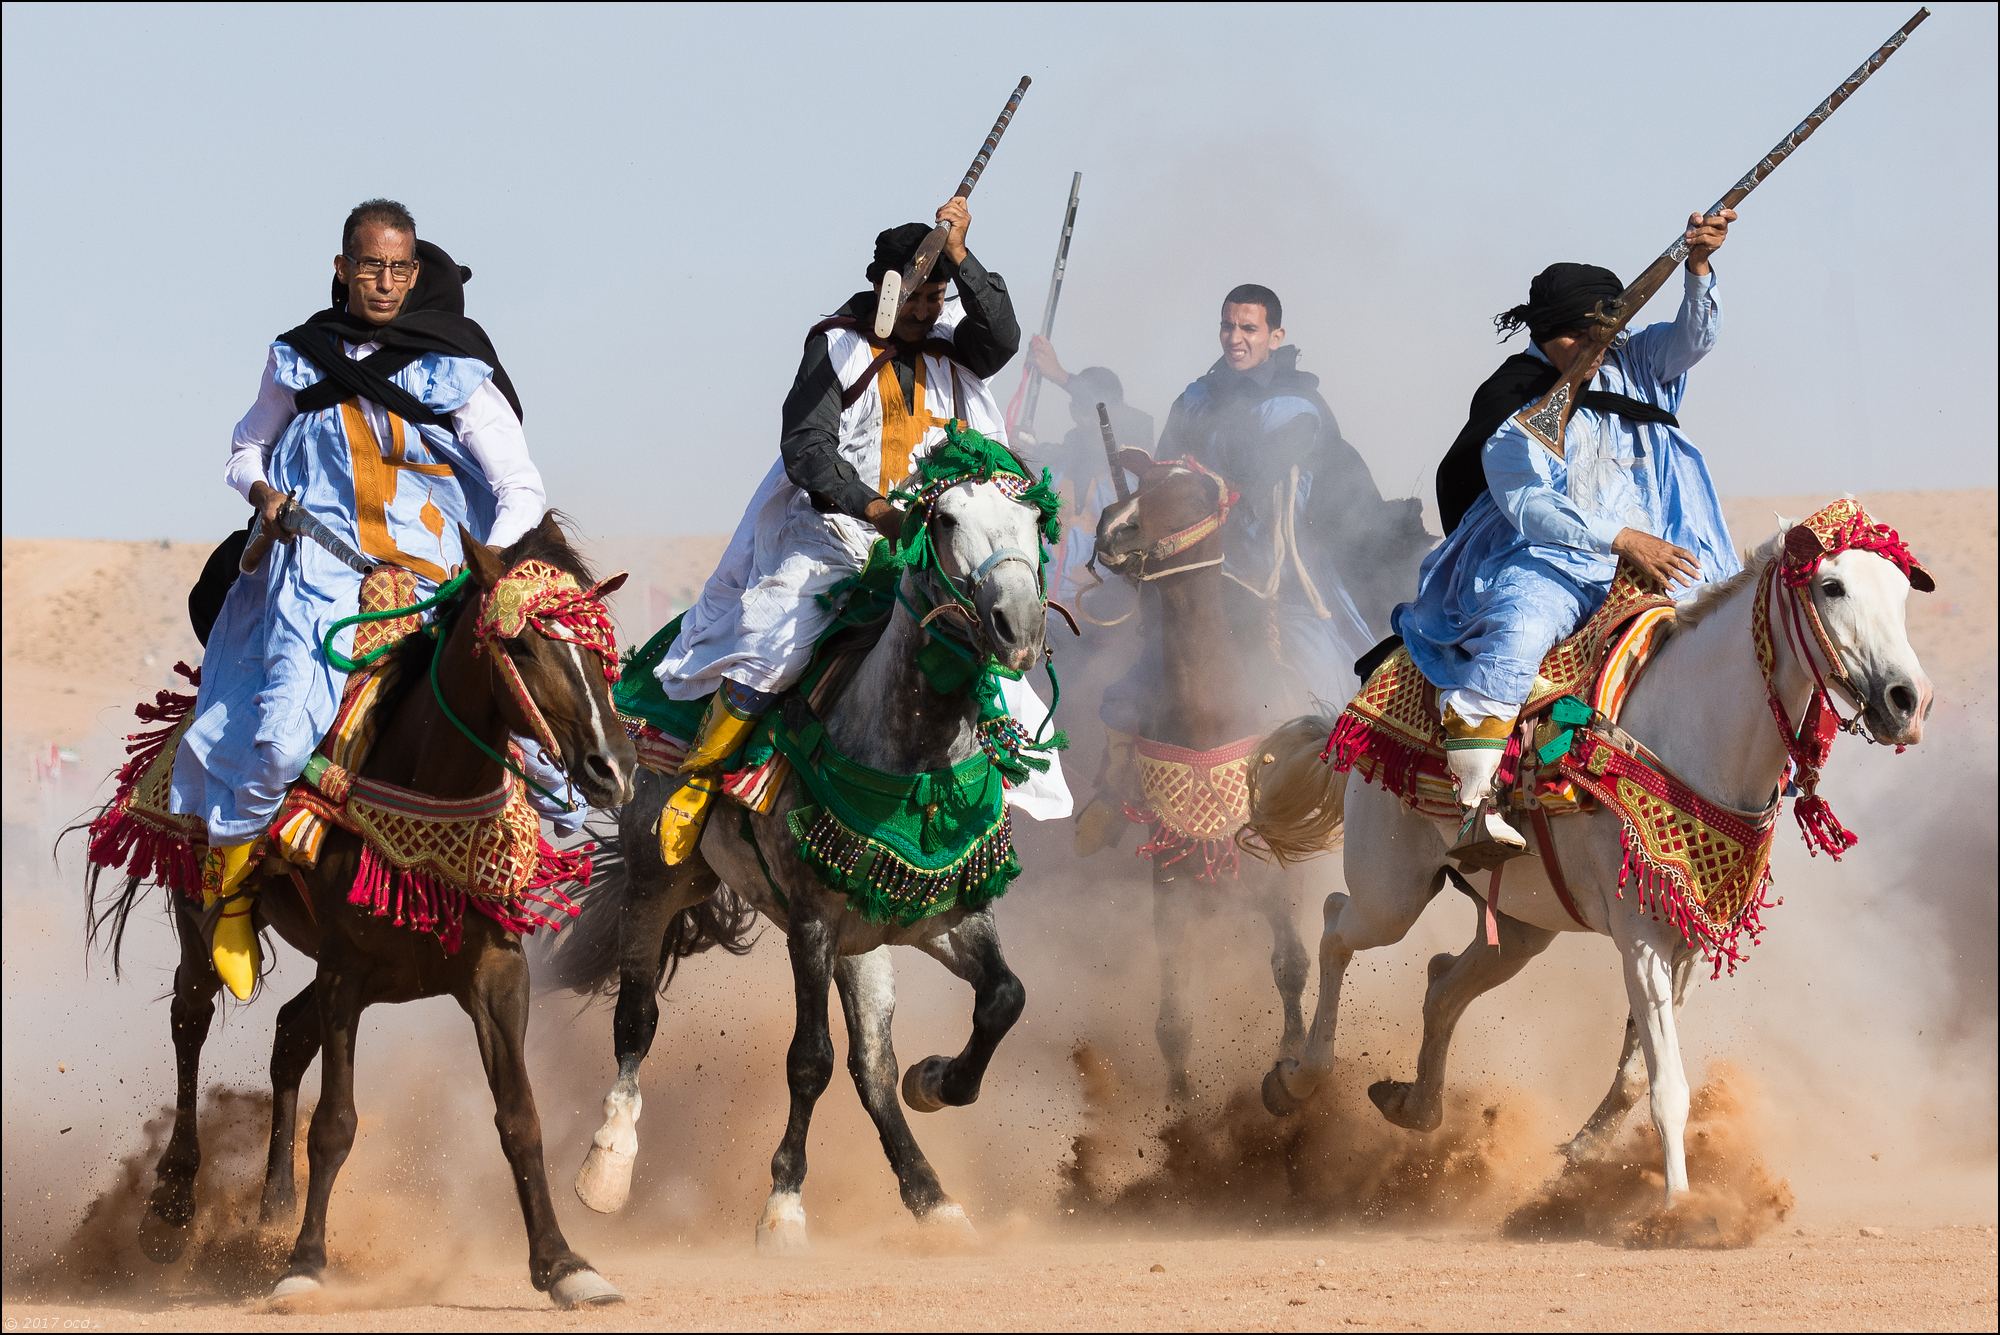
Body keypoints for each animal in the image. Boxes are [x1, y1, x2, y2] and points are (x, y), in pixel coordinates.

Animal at [84, 515, 632, 1311]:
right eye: (523, 645)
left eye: (601, 648)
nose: (612, 767)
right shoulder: (346, 973)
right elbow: (335, 1125)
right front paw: (305, 1264)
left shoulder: (496, 974)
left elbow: (520, 1116)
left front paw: (564, 1265)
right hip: (200, 919)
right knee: (191, 1019)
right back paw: (174, 1201)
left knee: (287, 1034)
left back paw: (272, 1205)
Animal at [548, 467, 1048, 1255]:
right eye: (944, 519)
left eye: (1034, 521)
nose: (1019, 626)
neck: (912, 759)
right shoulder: (810, 922)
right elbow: (808, 1059)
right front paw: (783, 1207)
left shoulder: (946, 917)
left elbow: (1003, 998)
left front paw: (935, 1080)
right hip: (661, 875)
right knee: (637, 1014)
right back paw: (607, 1165)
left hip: (864, 946)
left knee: (871, 1067)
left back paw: (934, 1199)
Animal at [1248, 505, 1936, 1191]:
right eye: (1831, 586)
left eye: (1901, 594)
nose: (1908, 701)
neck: (1693, 737)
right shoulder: (1640, 940)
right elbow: (1668, 1090)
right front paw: (1676, 1205)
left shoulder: (1686, 942)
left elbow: (1636, 1079)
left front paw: (1580, 1154)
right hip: (1391, 892)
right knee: (1336, 927)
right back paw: (1295, 1080)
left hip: (1520, 928)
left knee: (1441, 986)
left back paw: (1412, 1105)